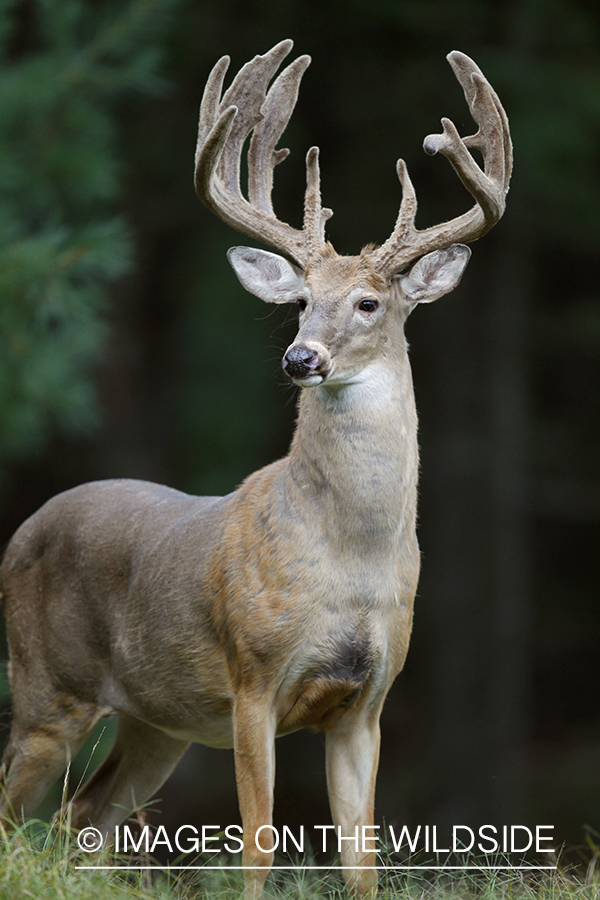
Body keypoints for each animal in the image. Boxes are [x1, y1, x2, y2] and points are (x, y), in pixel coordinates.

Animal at [0, 40, 510, 900]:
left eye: (370, 303)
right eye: (300, 300)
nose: (301, 357)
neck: (350, 558)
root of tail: (23, 528)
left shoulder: (368, 700)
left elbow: (362, 860)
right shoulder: (252, 677)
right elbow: (260, 843)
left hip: (154, 721)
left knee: (80, 820)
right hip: (46, 685)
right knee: (15, 815)